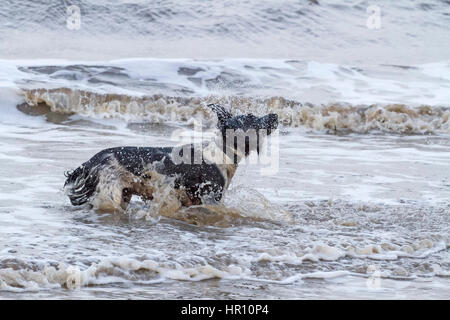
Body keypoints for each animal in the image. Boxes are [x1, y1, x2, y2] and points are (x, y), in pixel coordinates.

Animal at [64, 104, 278, 211]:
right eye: (251, 117)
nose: (275, 115)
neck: (221, 151)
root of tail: (92, 160)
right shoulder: (210, 197)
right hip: (111, 193)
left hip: (123, 194)